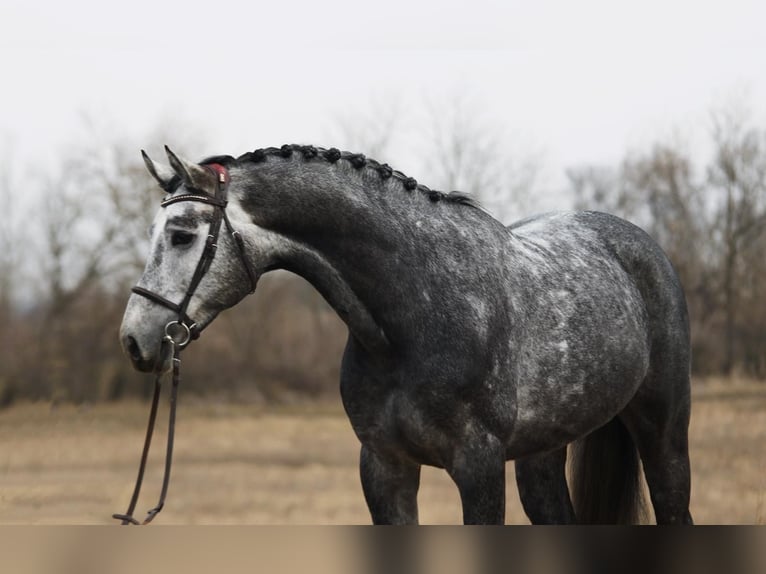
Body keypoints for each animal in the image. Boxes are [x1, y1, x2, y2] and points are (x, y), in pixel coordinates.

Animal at [119, 144, 693, 524]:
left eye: (182, 234)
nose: (133, 340)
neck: (413, 316)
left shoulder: (479, 468)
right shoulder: (384, 466)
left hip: (663, 433)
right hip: (542, 456)